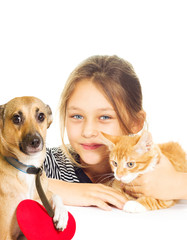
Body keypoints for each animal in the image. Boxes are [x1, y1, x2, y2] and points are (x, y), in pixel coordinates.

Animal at [0, 96, 68, 239]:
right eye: (16, 118)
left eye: (41, 116)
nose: (35, 141)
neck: (27, 168)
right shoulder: (5, 234)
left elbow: (55, 194)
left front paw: (61, 213)